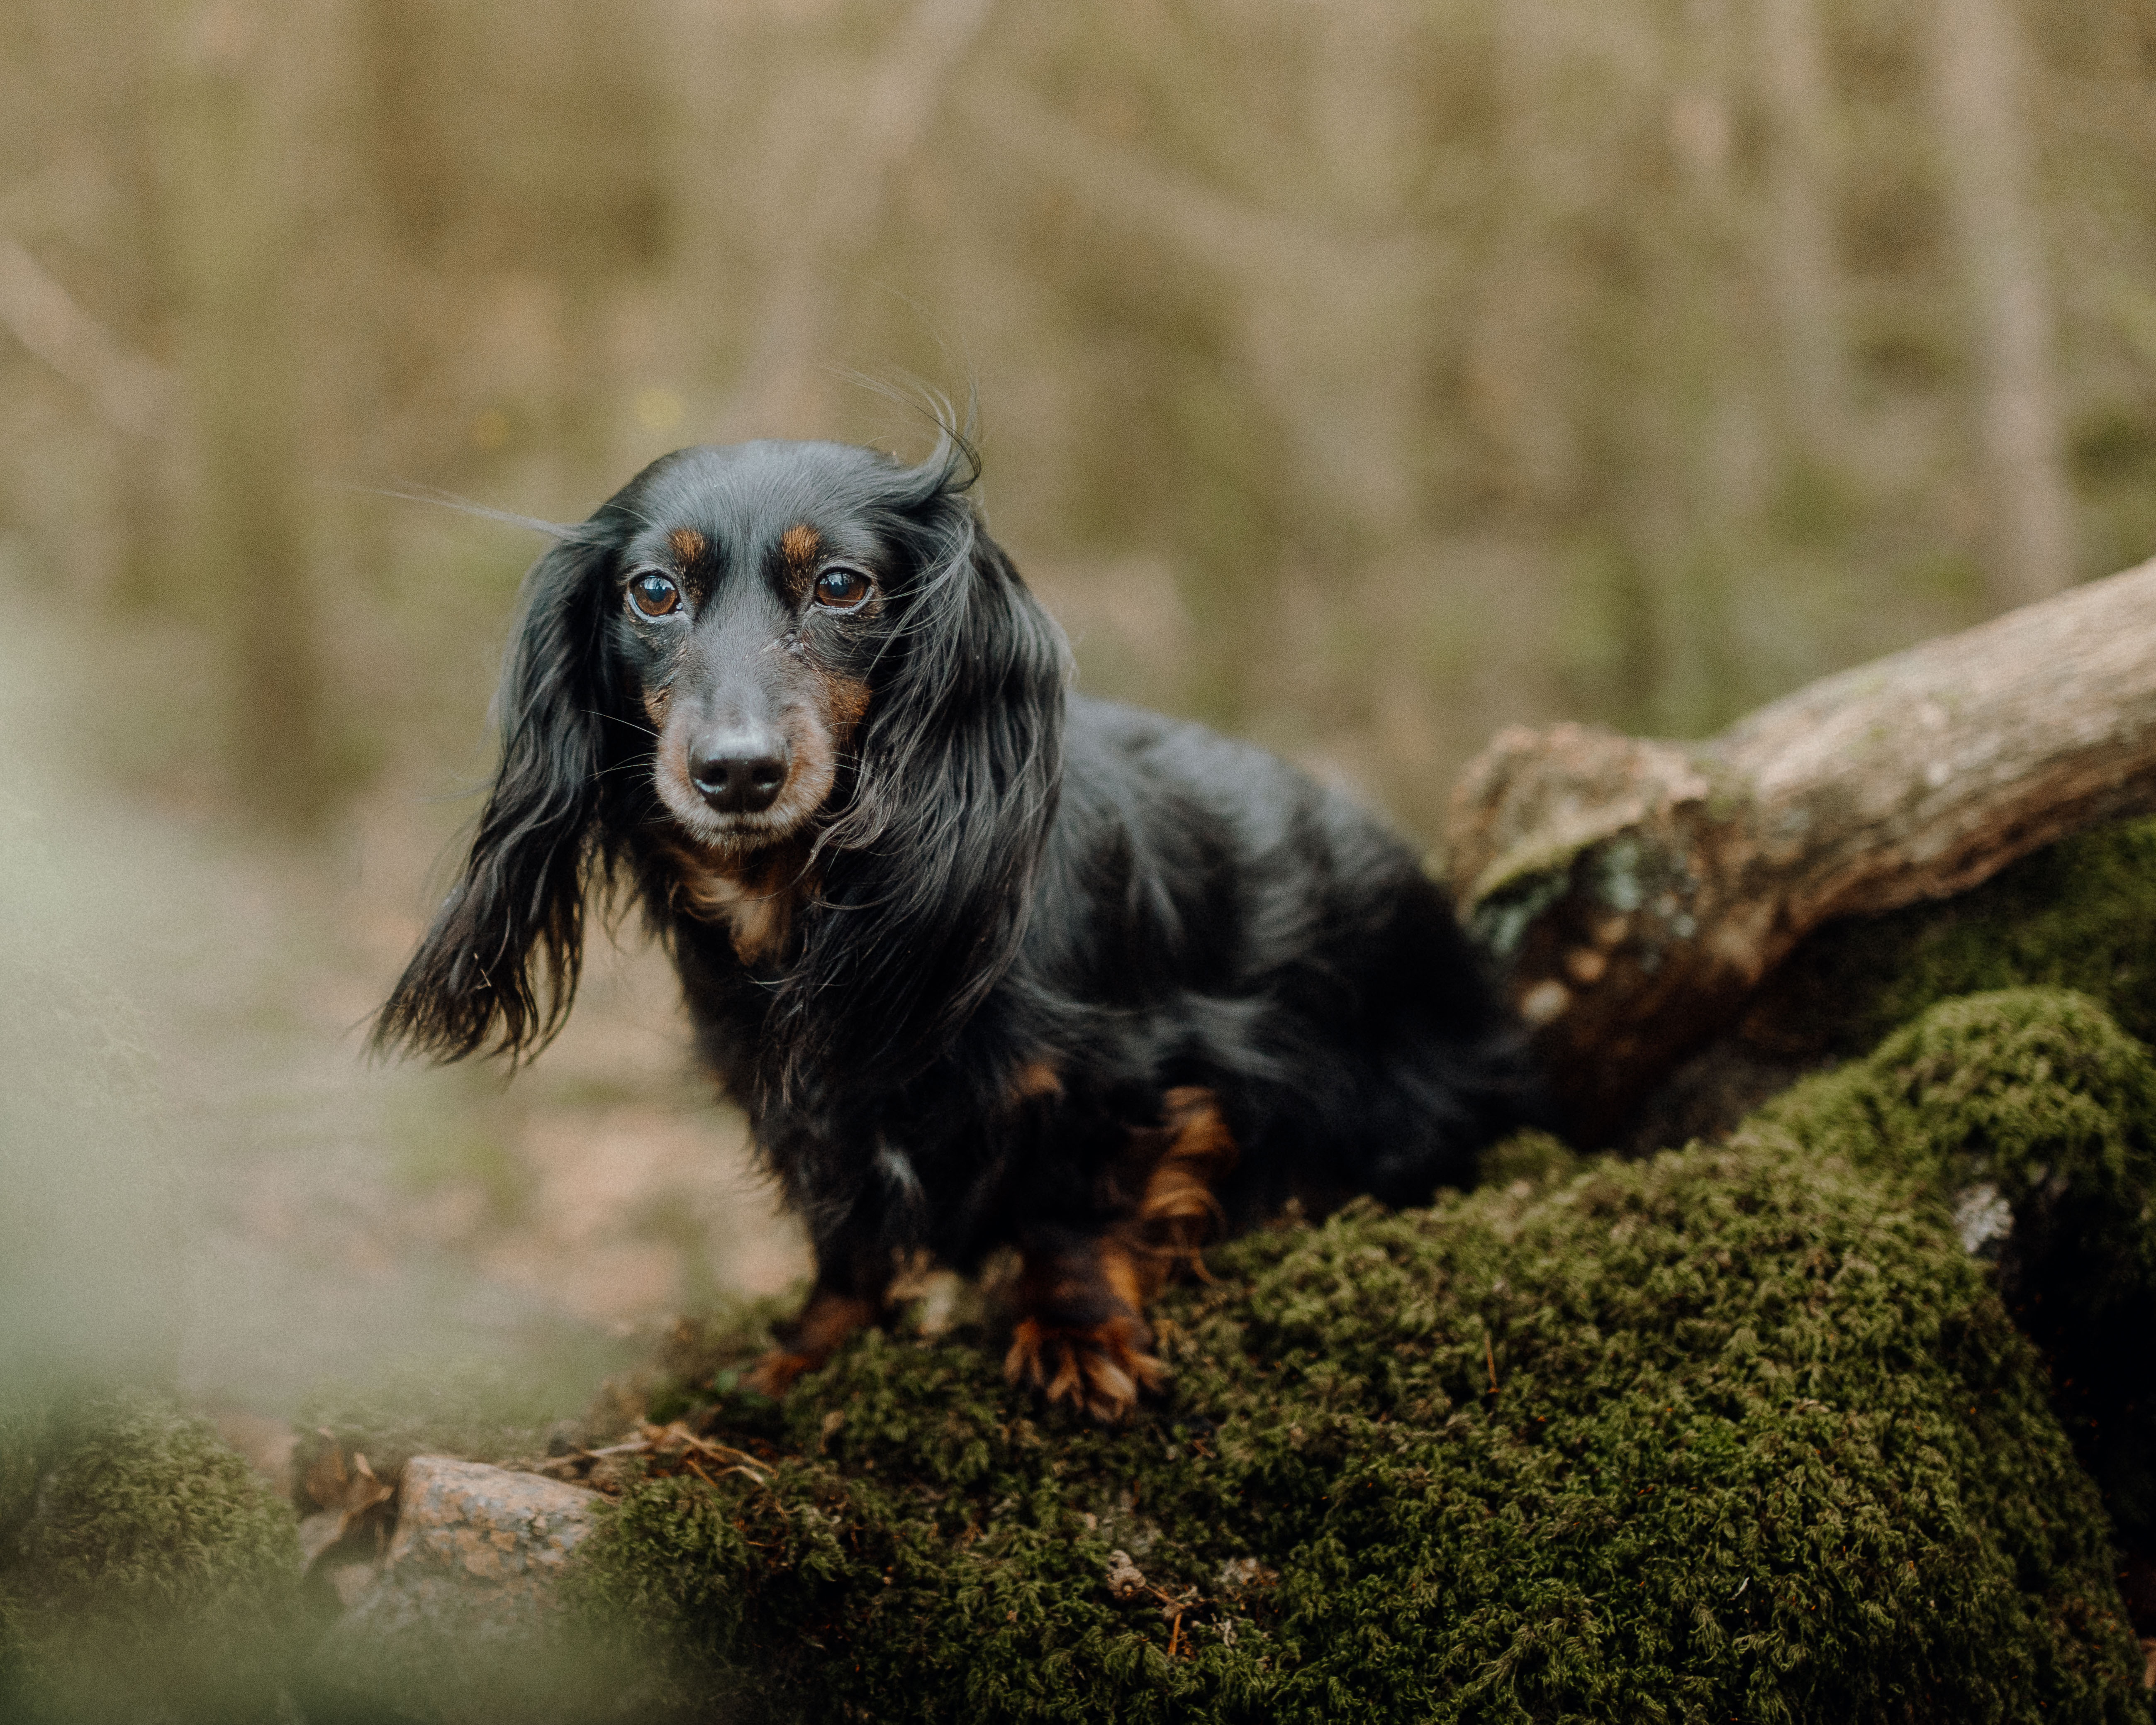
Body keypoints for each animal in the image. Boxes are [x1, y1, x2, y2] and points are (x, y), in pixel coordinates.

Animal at [375, 427, 1552, 1414]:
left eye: (841, 585)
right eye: (655, 592)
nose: (736, 774)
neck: (819, 903)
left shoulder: (1117, 1078)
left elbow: (1070, 1206)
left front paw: (1075, 1332)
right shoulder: (808, 1109)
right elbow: (844, 1242)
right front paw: (804, 1349)